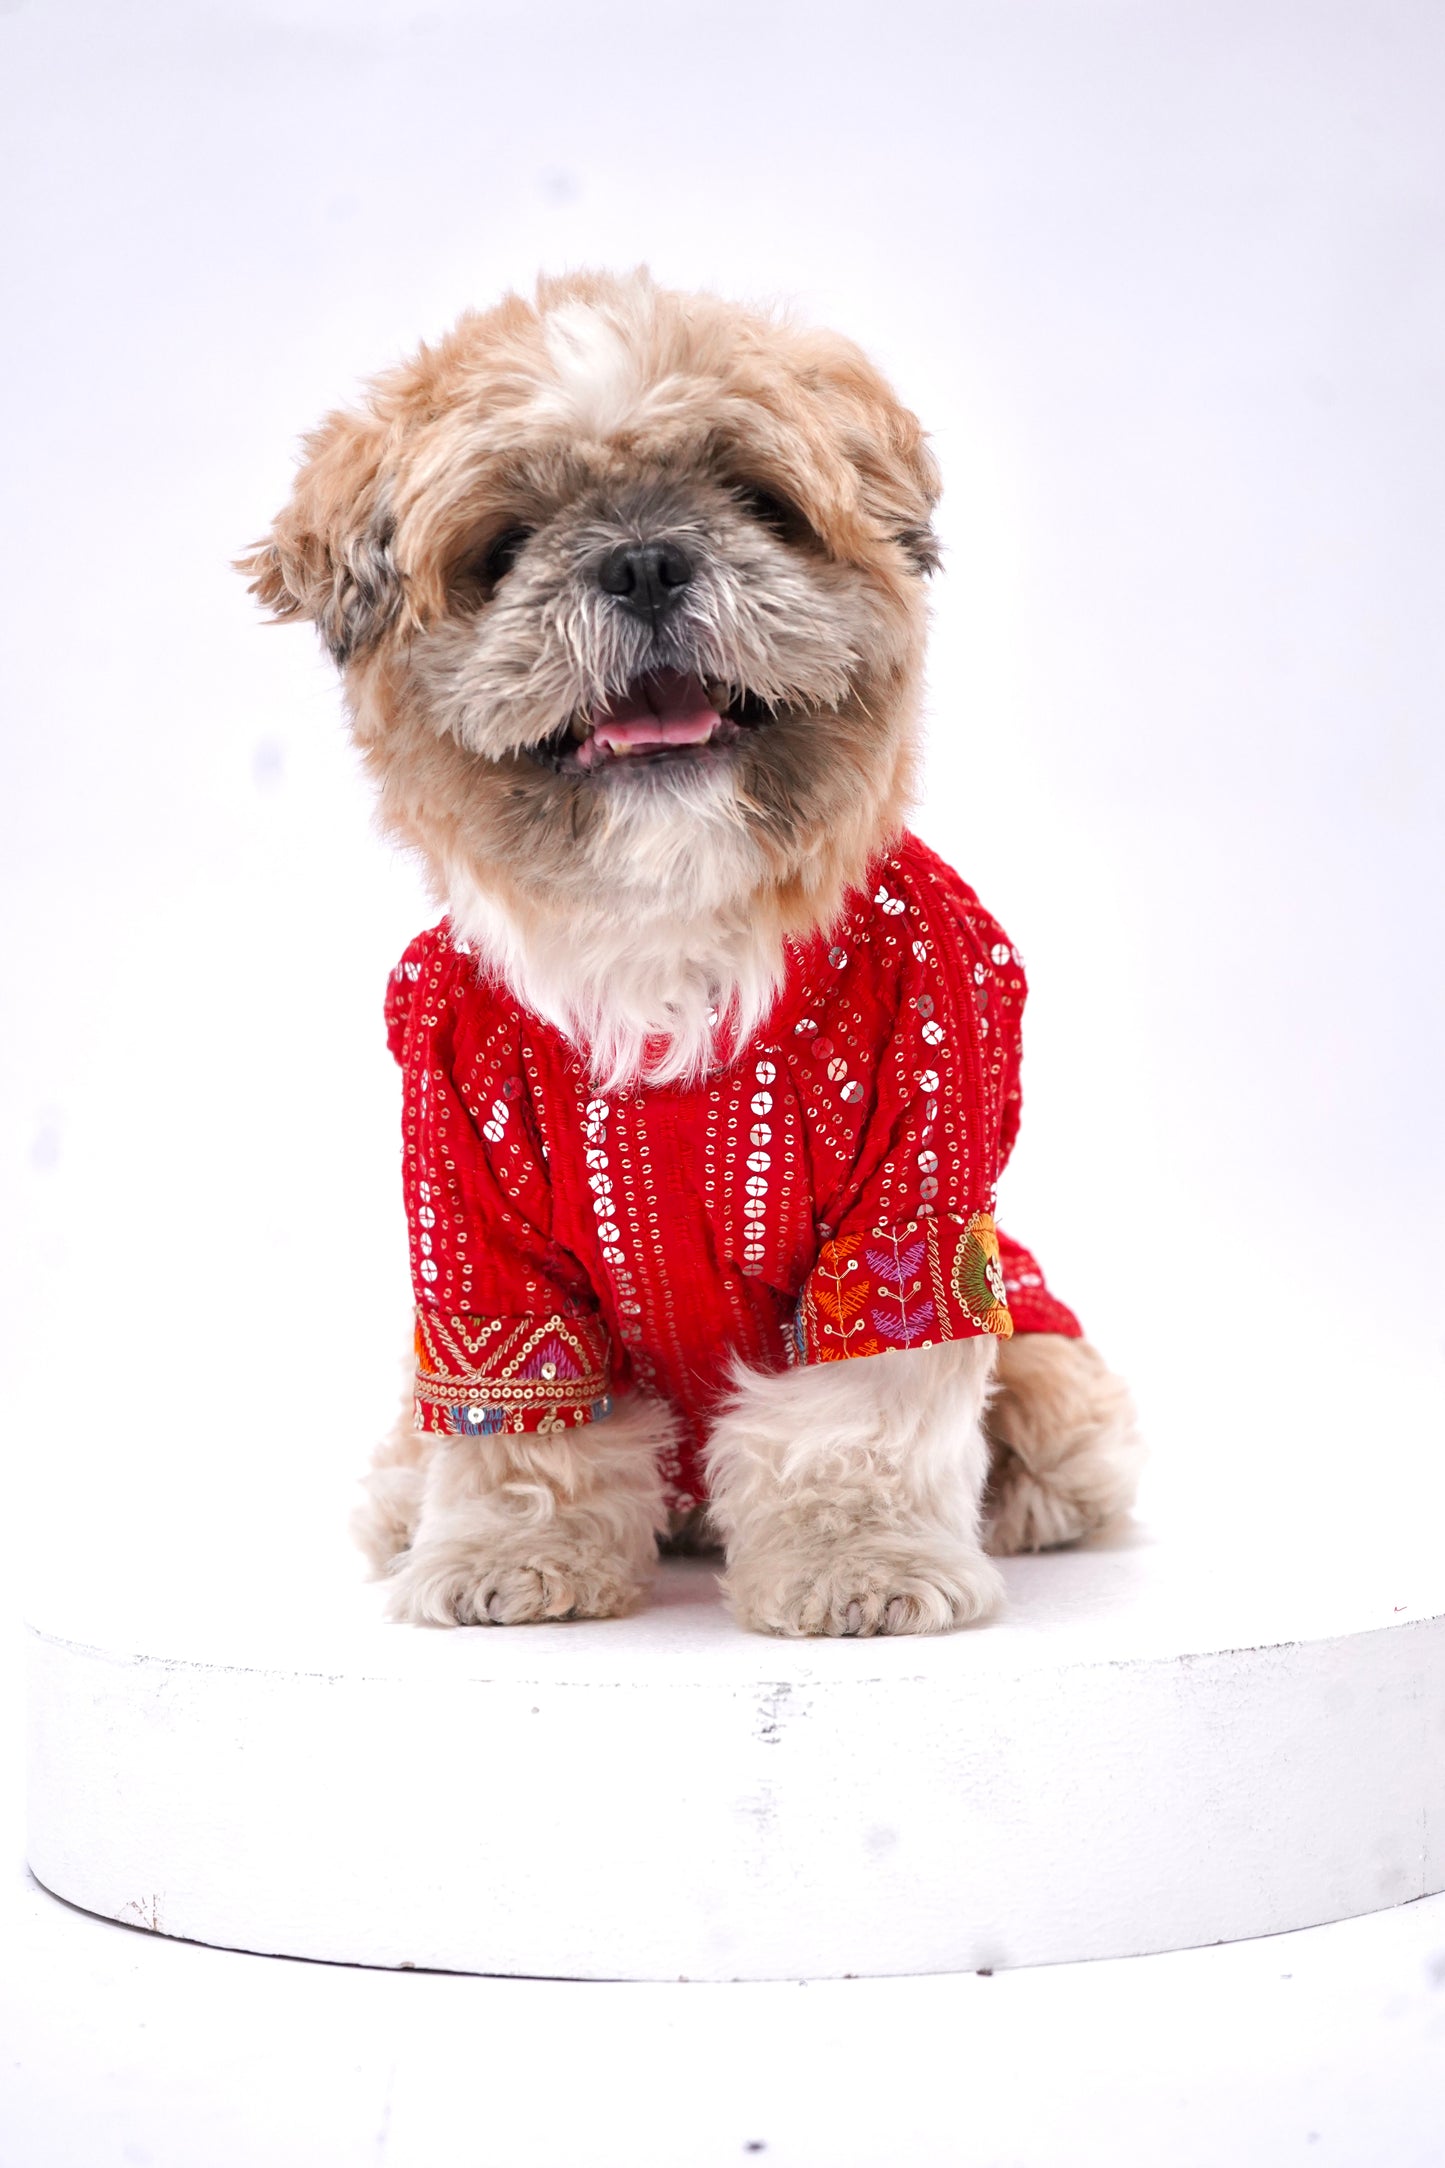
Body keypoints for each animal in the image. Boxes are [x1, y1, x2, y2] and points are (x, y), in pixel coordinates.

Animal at [240, 262, 1143, 1630]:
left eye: (757, 499)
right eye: (502, 547)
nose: (645, 560)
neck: (667, 931)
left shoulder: (913, 1169)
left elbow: (854, 1405)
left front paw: (857, 1565)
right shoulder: (469, 1209)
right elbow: (524, 1416)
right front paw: (514, 1555)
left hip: (1038, 1334)